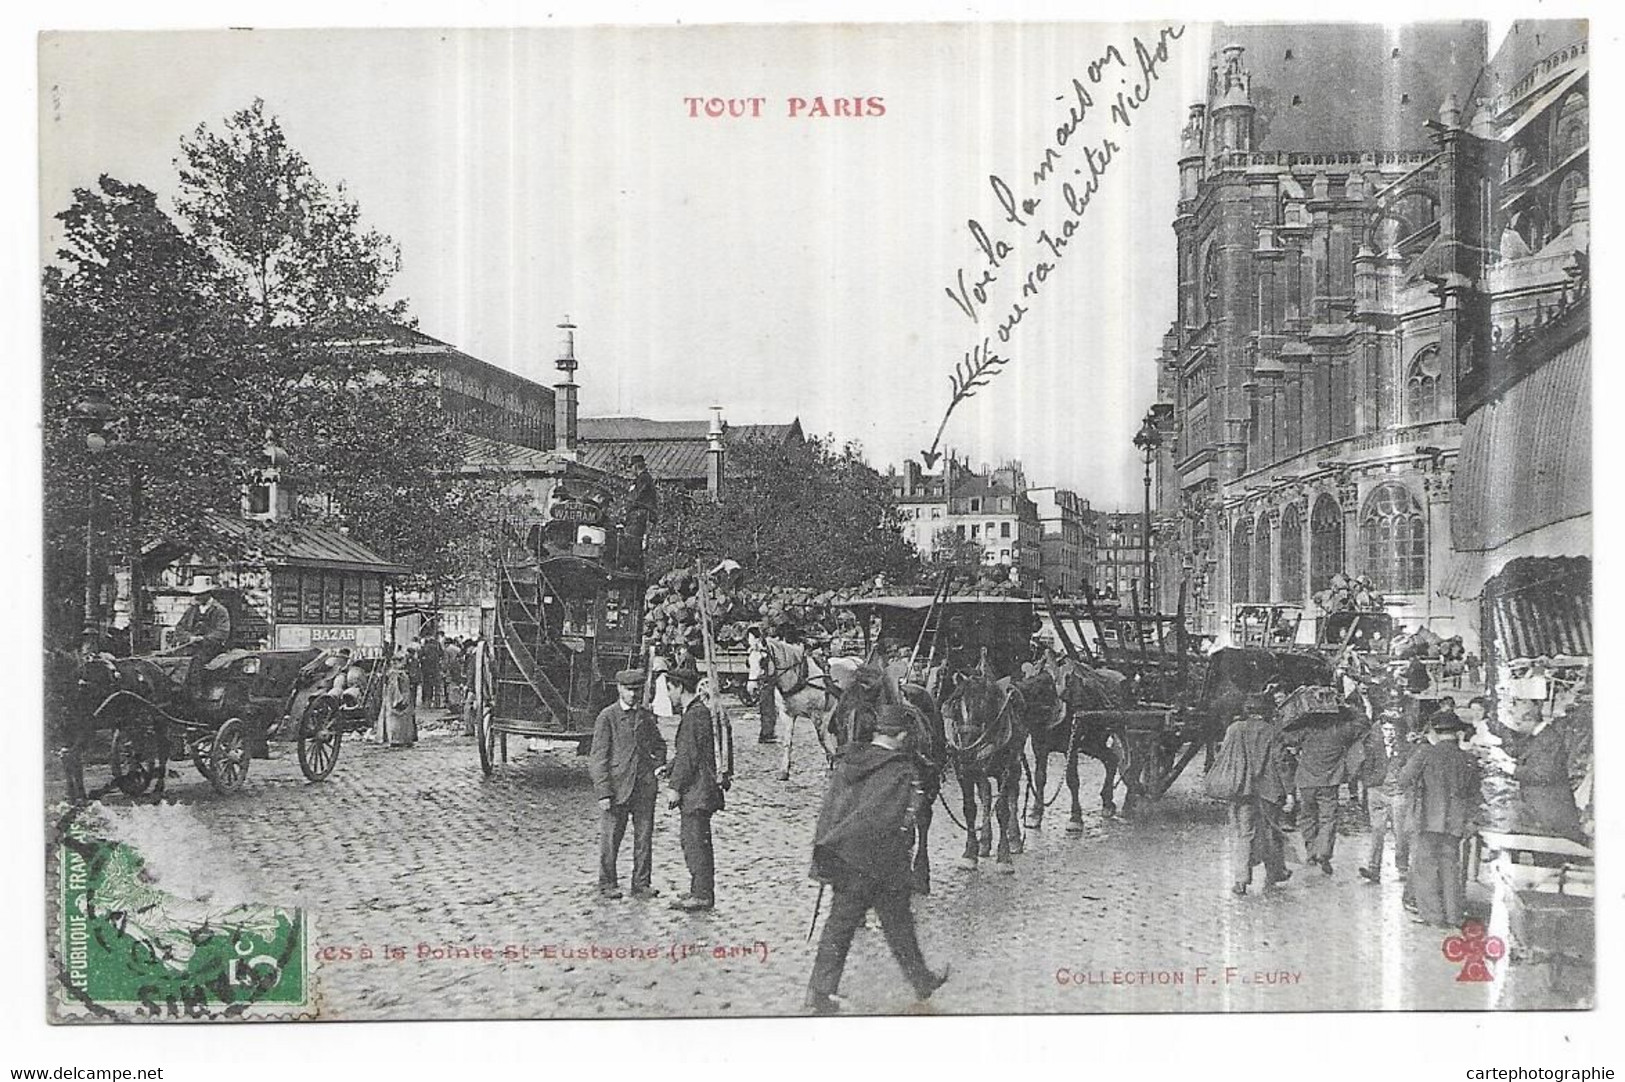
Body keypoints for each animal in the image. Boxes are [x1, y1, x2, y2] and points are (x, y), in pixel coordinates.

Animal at [936, 662, 1020, 870]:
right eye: (955, 705)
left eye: (987, 706)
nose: (967, 750)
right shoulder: (964, 773)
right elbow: (970, 809)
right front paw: (970, 853)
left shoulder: (1003, 772)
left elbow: (1003, 811)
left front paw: (1004, 857)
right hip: (980, 772)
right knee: (986, 797)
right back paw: (984, 843)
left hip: (1014, 764)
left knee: (1013, 796)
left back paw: (1015, 839)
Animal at [1014, 649, 1131, 825]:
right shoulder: (1039, 745)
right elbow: (1040, 777)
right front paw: (1036, 813)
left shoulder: (1072, 745)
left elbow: (1072, 780)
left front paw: (1075, 817)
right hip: (1092, 742)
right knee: (1111, 759)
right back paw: (1107, 802)